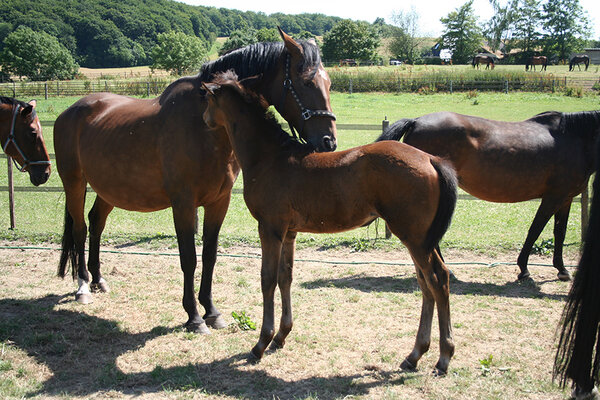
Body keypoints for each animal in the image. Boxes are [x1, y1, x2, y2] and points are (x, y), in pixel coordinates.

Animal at [54, 28, 338, 334]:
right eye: (306, 81)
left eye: (329, 83)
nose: (329, 142)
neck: (205, 128)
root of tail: (71, 110)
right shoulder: (183, 204)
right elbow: (188, 258)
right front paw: (194, 316)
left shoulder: (218, 202)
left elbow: (210, 255)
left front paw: (211, 310)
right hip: (74, 183)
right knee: (80, 228)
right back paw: (83, 286)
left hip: (108, 190)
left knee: (96, 223)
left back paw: (98, 279)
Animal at [202, 73, 460, 376]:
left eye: (207, 100)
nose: (205, 119)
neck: (269, 158)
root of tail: (431, 159)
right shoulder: (289, 233)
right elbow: (285, 277)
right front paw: (281, 336)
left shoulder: (270, 228)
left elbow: (267, 280)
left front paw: (261, 343)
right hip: (420, 240)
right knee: (426, 283)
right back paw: (415, 355)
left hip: (415, 239)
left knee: (437, 280)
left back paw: (443, 358)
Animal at [378, 111, 600, 282]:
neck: (574, 140)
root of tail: (416, 121)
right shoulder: (553, 197)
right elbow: (535, 230)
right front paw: (524, 269)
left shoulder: (566, 198)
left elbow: (559, 232)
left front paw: (562, 270)